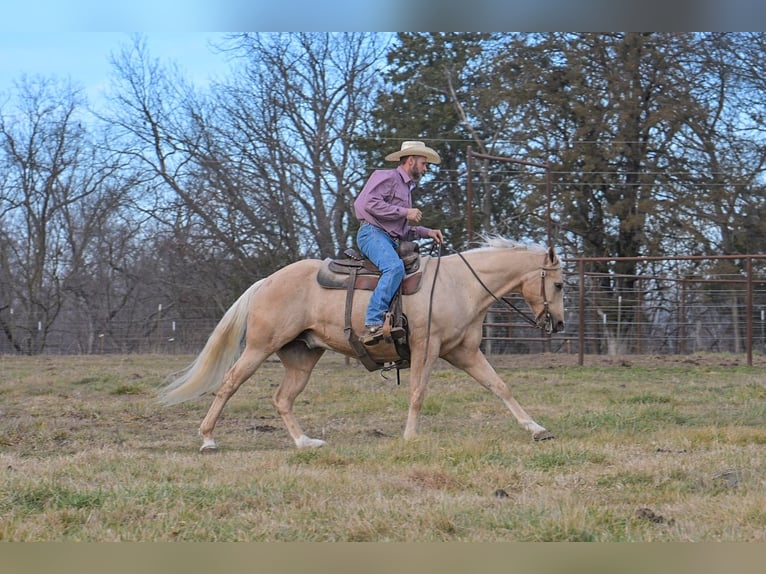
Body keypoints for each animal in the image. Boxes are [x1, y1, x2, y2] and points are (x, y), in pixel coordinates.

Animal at [159, 237, 566, 451]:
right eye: (560, 284)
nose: (559, 323)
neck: (459, 284)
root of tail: (266, 281)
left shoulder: (463, 352)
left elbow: (500, 386)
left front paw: (537, 428)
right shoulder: (427, 348)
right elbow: (418, 392)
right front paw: (410, 436)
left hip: (302, 357)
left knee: (282, 399)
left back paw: (305, 442)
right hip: (259, 348)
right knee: (229, 384)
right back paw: (208, 439)